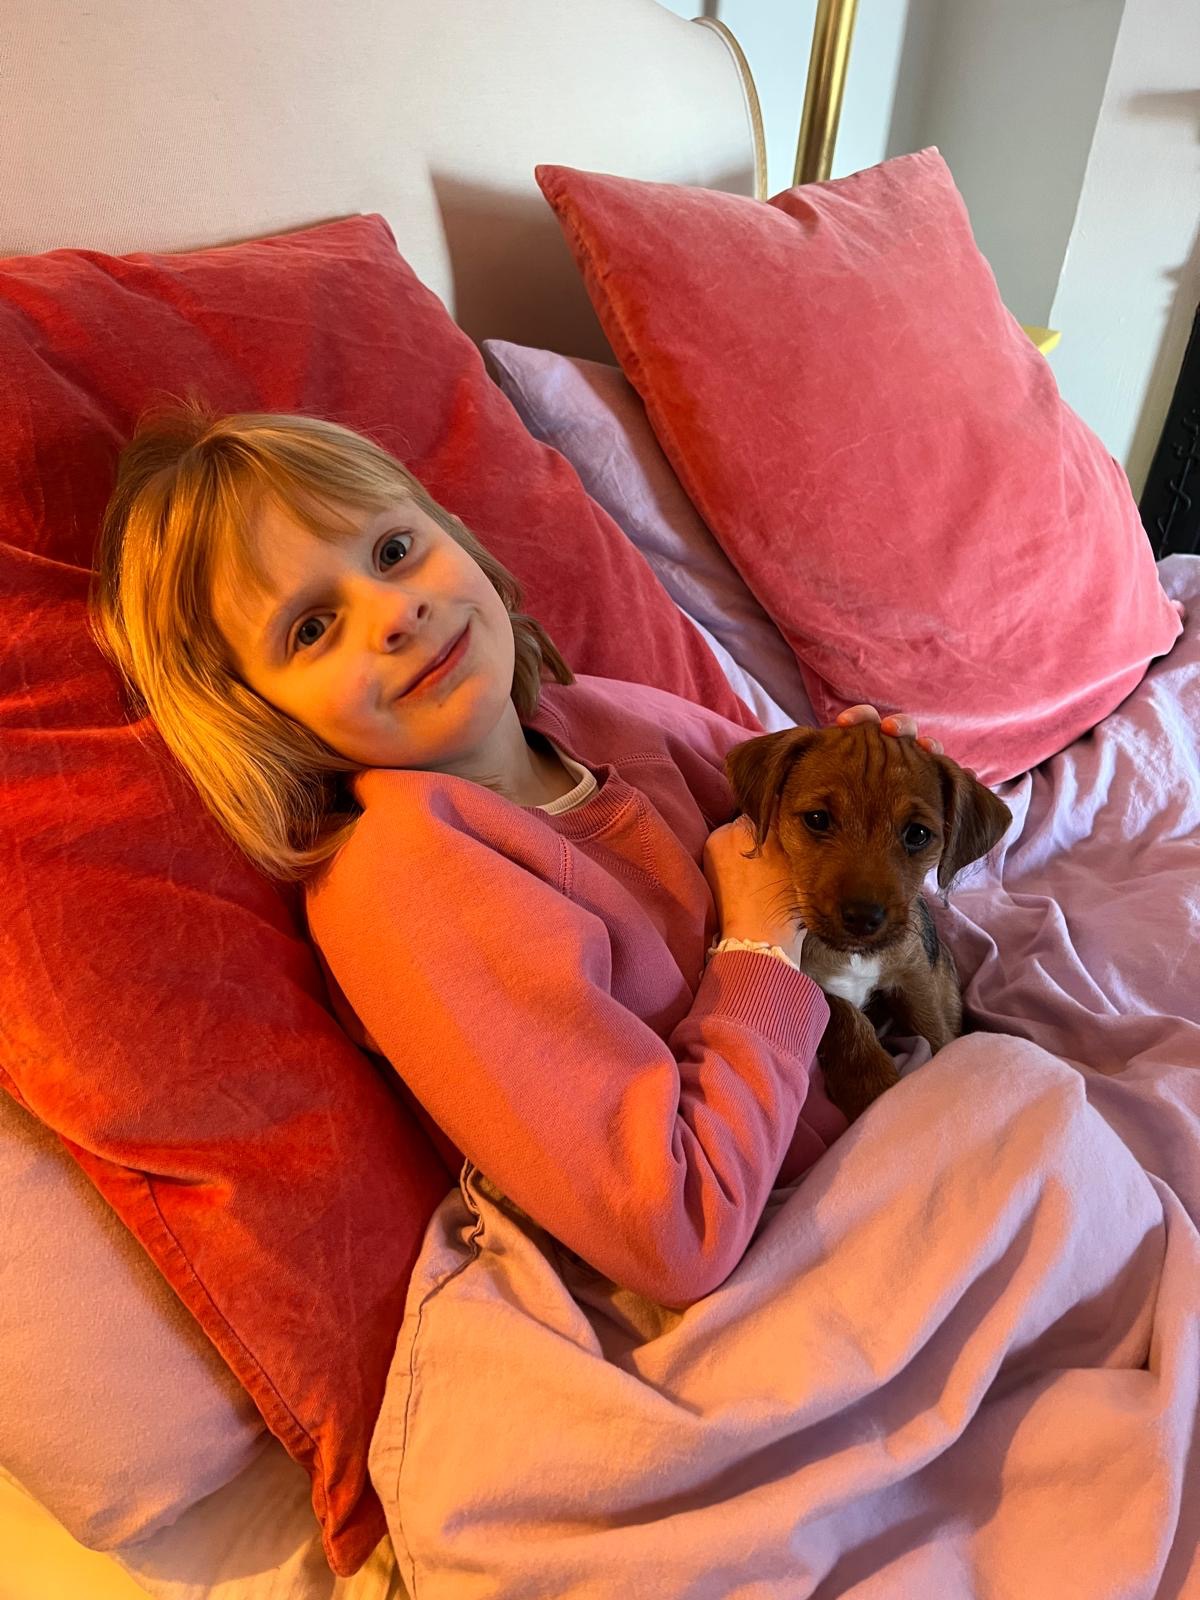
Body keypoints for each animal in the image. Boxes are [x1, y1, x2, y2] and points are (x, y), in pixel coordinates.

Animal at [725, 722, 1012, 1122]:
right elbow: (844, 1013)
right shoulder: (818, 984)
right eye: (817, 819)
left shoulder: (915, 976)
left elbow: (933, 1029)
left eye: (917, 834)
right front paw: (871, 1085)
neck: (854, 956)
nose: (863, 918)